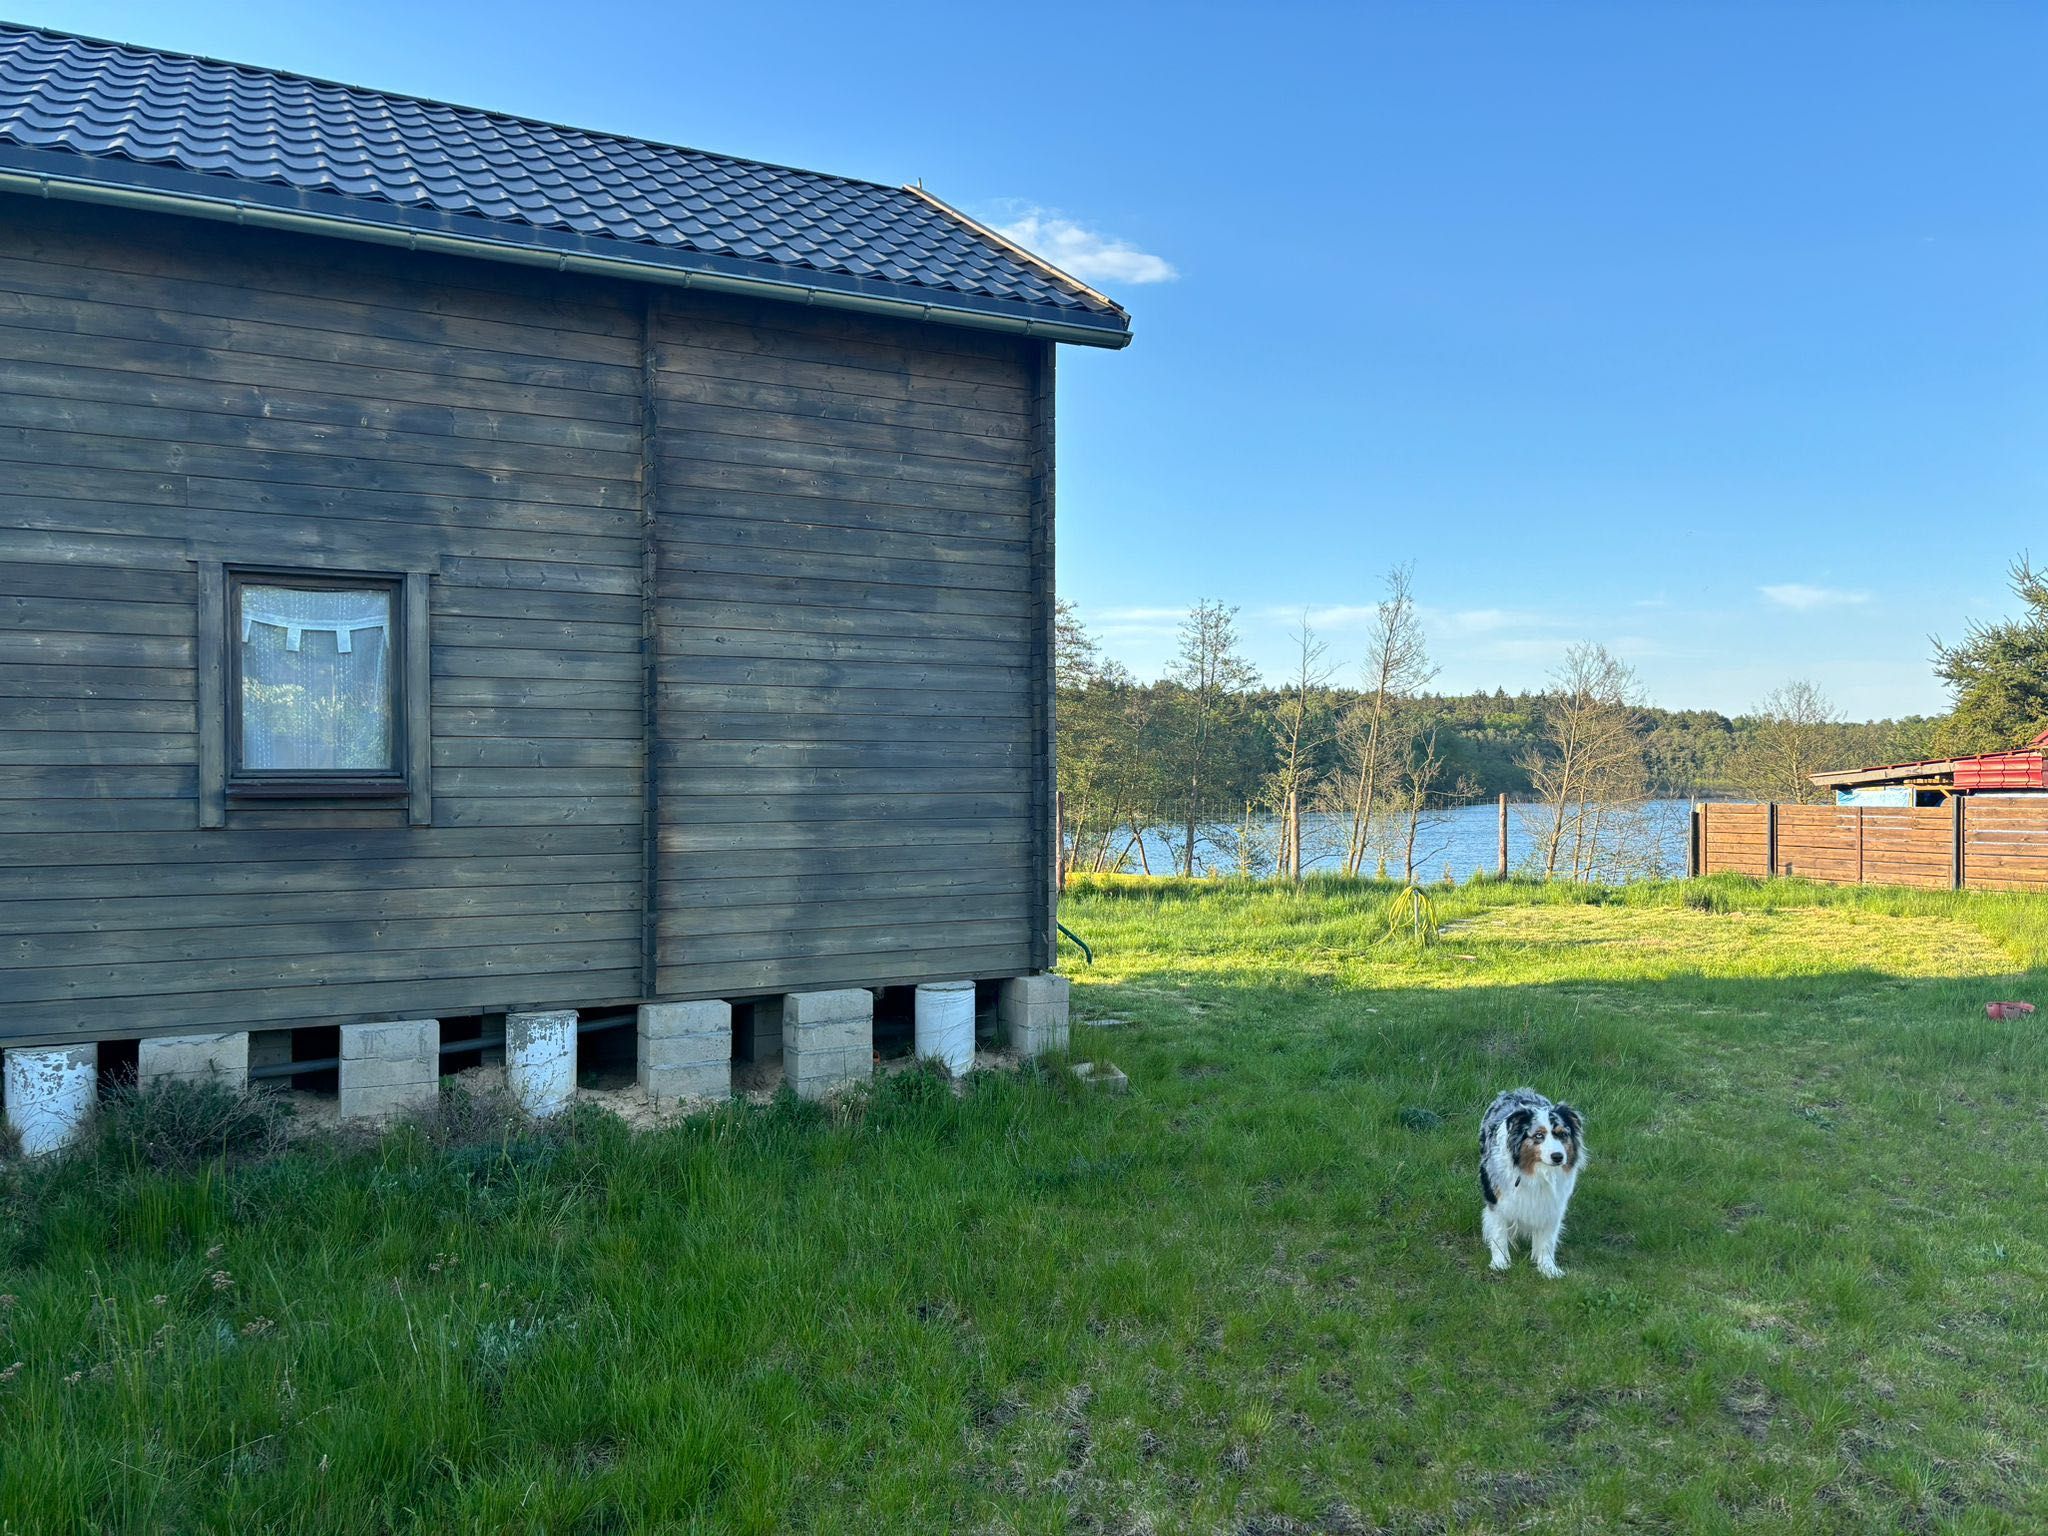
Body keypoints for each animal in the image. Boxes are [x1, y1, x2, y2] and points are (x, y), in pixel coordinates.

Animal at [1482, 1089, 1589, 1277]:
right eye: (1539, 1135)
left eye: (1563, 1134)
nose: (1558, 1156)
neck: (1537, 1173)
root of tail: (1518, 1090)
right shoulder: (1496, 1200)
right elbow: (1499, 1233)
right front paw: (1500, 1263)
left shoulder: (1553, 1205)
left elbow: (1547, 1240)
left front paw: (1548, 1268)